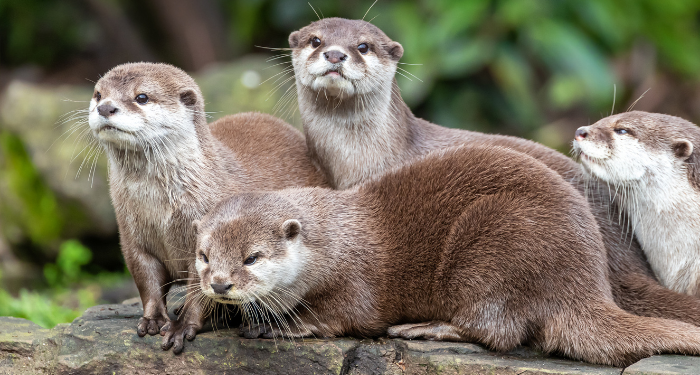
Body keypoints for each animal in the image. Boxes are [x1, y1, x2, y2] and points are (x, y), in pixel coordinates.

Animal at [87, 61, 326, 352]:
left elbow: (202, 287)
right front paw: (153, 319)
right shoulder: (132, 234)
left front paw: (181, 327)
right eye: (99, 94)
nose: (105, 107)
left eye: (141, 97)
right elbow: (146, 279)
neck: (160, 211)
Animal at [193, 146, 700, 368]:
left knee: (497, 330)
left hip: (496, 245)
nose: (219, 283)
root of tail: (586, 284)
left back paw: (425, 328)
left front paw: (279, 326)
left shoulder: (355, 279)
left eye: (252, 257)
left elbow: (342, 316)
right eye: (203, 255)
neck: (335, 241)